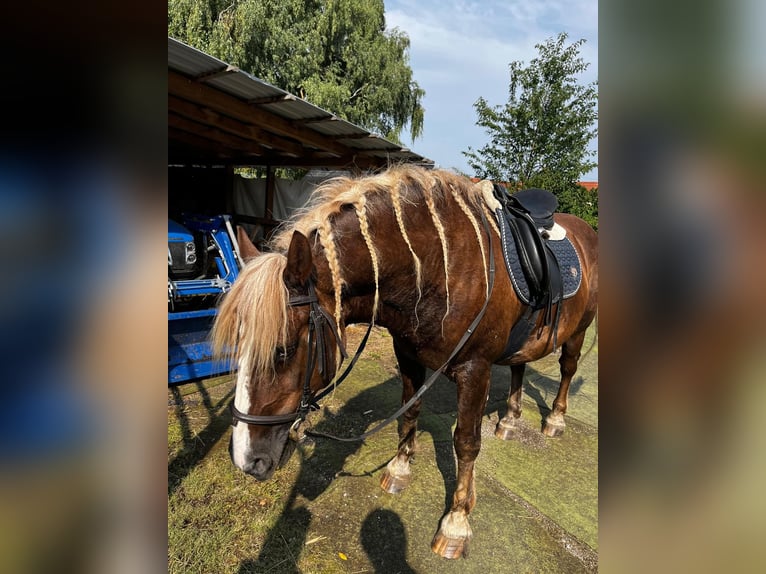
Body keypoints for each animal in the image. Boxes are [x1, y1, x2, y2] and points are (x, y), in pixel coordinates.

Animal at [212, 165, 598, 559]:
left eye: (284, 350)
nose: (245, 459)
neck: (439, 268)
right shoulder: (408, 355)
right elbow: (409, 414)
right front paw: (399, 470)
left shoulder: (475, 370)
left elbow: (466, 442)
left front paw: (456, 523)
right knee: (520, 364)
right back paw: (509, 419)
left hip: (580, 329)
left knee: (568, 369)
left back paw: (554, 420)